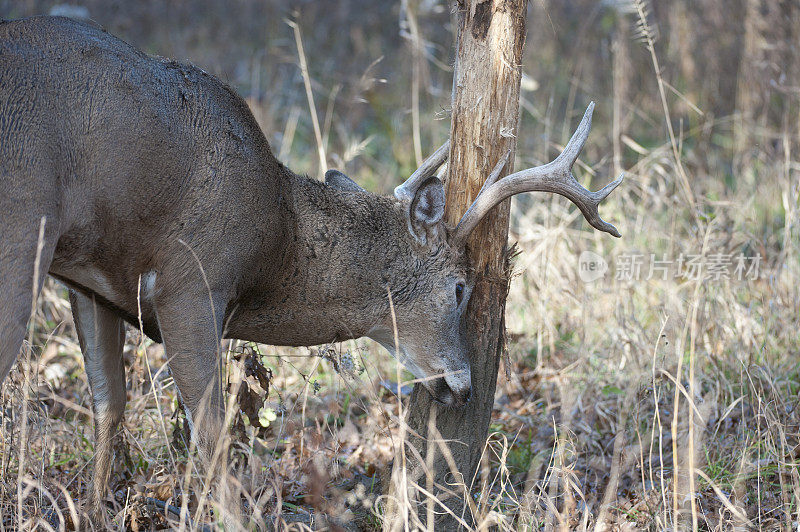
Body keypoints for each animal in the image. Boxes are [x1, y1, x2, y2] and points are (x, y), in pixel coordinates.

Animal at [0, 15, 620, 524]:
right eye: (460, 287)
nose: (463, 384)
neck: (277, 242)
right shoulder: (191, 280)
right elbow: (213, 433)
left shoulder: (94, 281)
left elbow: (110, 406)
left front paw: (95, 514)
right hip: (22, 227)